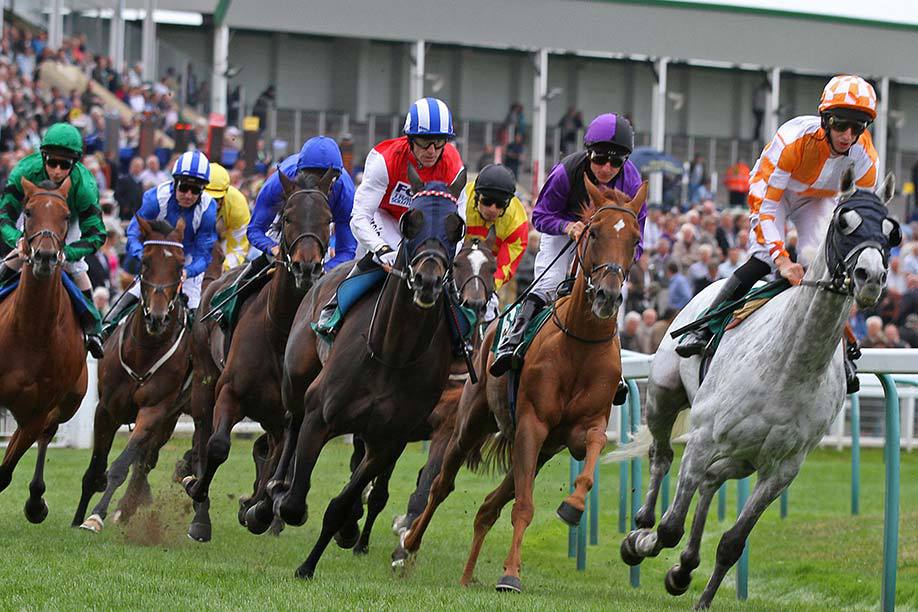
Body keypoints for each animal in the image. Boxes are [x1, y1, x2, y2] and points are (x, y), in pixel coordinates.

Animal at [0, 176, 88, 520]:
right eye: (28, 211)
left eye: (66, 216)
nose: (45, 257)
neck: (30, 332)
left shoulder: (38, 410)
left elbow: (4, 472)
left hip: (68, 402)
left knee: (46, 435)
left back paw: (36, 500)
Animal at [181, 167, 336, 540]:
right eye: (287, 217)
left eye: (328, 219)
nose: (306, 268)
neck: (279, 334)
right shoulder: (229, 391)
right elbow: (218, 447)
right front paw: (198, 495)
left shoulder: (286, 415)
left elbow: (278, 459)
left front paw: (257, 510)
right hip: (204, 382)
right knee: (202, 436)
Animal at [274, 169, 468, 580]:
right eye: (410, 221)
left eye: (456, 225)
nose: (427, 280)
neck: (393, 353)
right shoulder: (320, 415)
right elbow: (296, 503)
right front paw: (284, 511)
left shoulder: (389, 440)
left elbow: (343, 501)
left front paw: (325, 549)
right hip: (296, 379)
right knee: (290, 422)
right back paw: (267, 499)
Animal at [398, 179, 652, 592]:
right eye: (594, 233)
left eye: (634, 238)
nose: (608, 296)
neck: (580, 343)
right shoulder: (532, 424)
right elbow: (524, 507)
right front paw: (510, 575)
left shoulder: (580, 430)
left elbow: (592, 454)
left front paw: (573, 506)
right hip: (473, 423)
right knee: (441, 485)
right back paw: (407, 546)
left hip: (542, 451)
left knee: (488, 506)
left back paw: (466, 576)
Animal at [608, 166, 904, 608]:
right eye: (843, 223)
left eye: (891, 231)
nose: (871, 276)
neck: (789, 367)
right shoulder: (703, 439)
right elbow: (670, 526)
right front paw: (639, 542)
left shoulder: (782, 468)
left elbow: (732, 542)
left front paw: (696, 591)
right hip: (664, 395)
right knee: (662, 456)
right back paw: (642, 523)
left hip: (743, 457)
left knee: (711, 481)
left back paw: (685, 566)